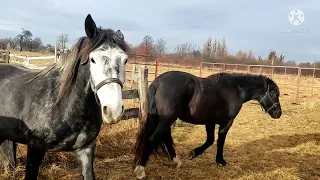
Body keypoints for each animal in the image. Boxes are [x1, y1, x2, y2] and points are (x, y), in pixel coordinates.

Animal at [0, 14, 130, 180]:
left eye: (125, 60)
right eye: (93, 59)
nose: (113, 110)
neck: (64, 105)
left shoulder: (86, 150)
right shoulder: (35, 148)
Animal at [134, 70, 282, 179]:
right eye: (275, 94)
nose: (278, 113)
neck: (236, 89)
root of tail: (157, 82)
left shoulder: (209, 122)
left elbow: (210, 140)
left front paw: (194, 153)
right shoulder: (226, 122)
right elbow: (220, 141)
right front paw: (220, 161)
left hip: (165, 120)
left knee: (165, 138)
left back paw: (176, 161)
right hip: (167, 119)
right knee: (152, 139)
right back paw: (140, 171)